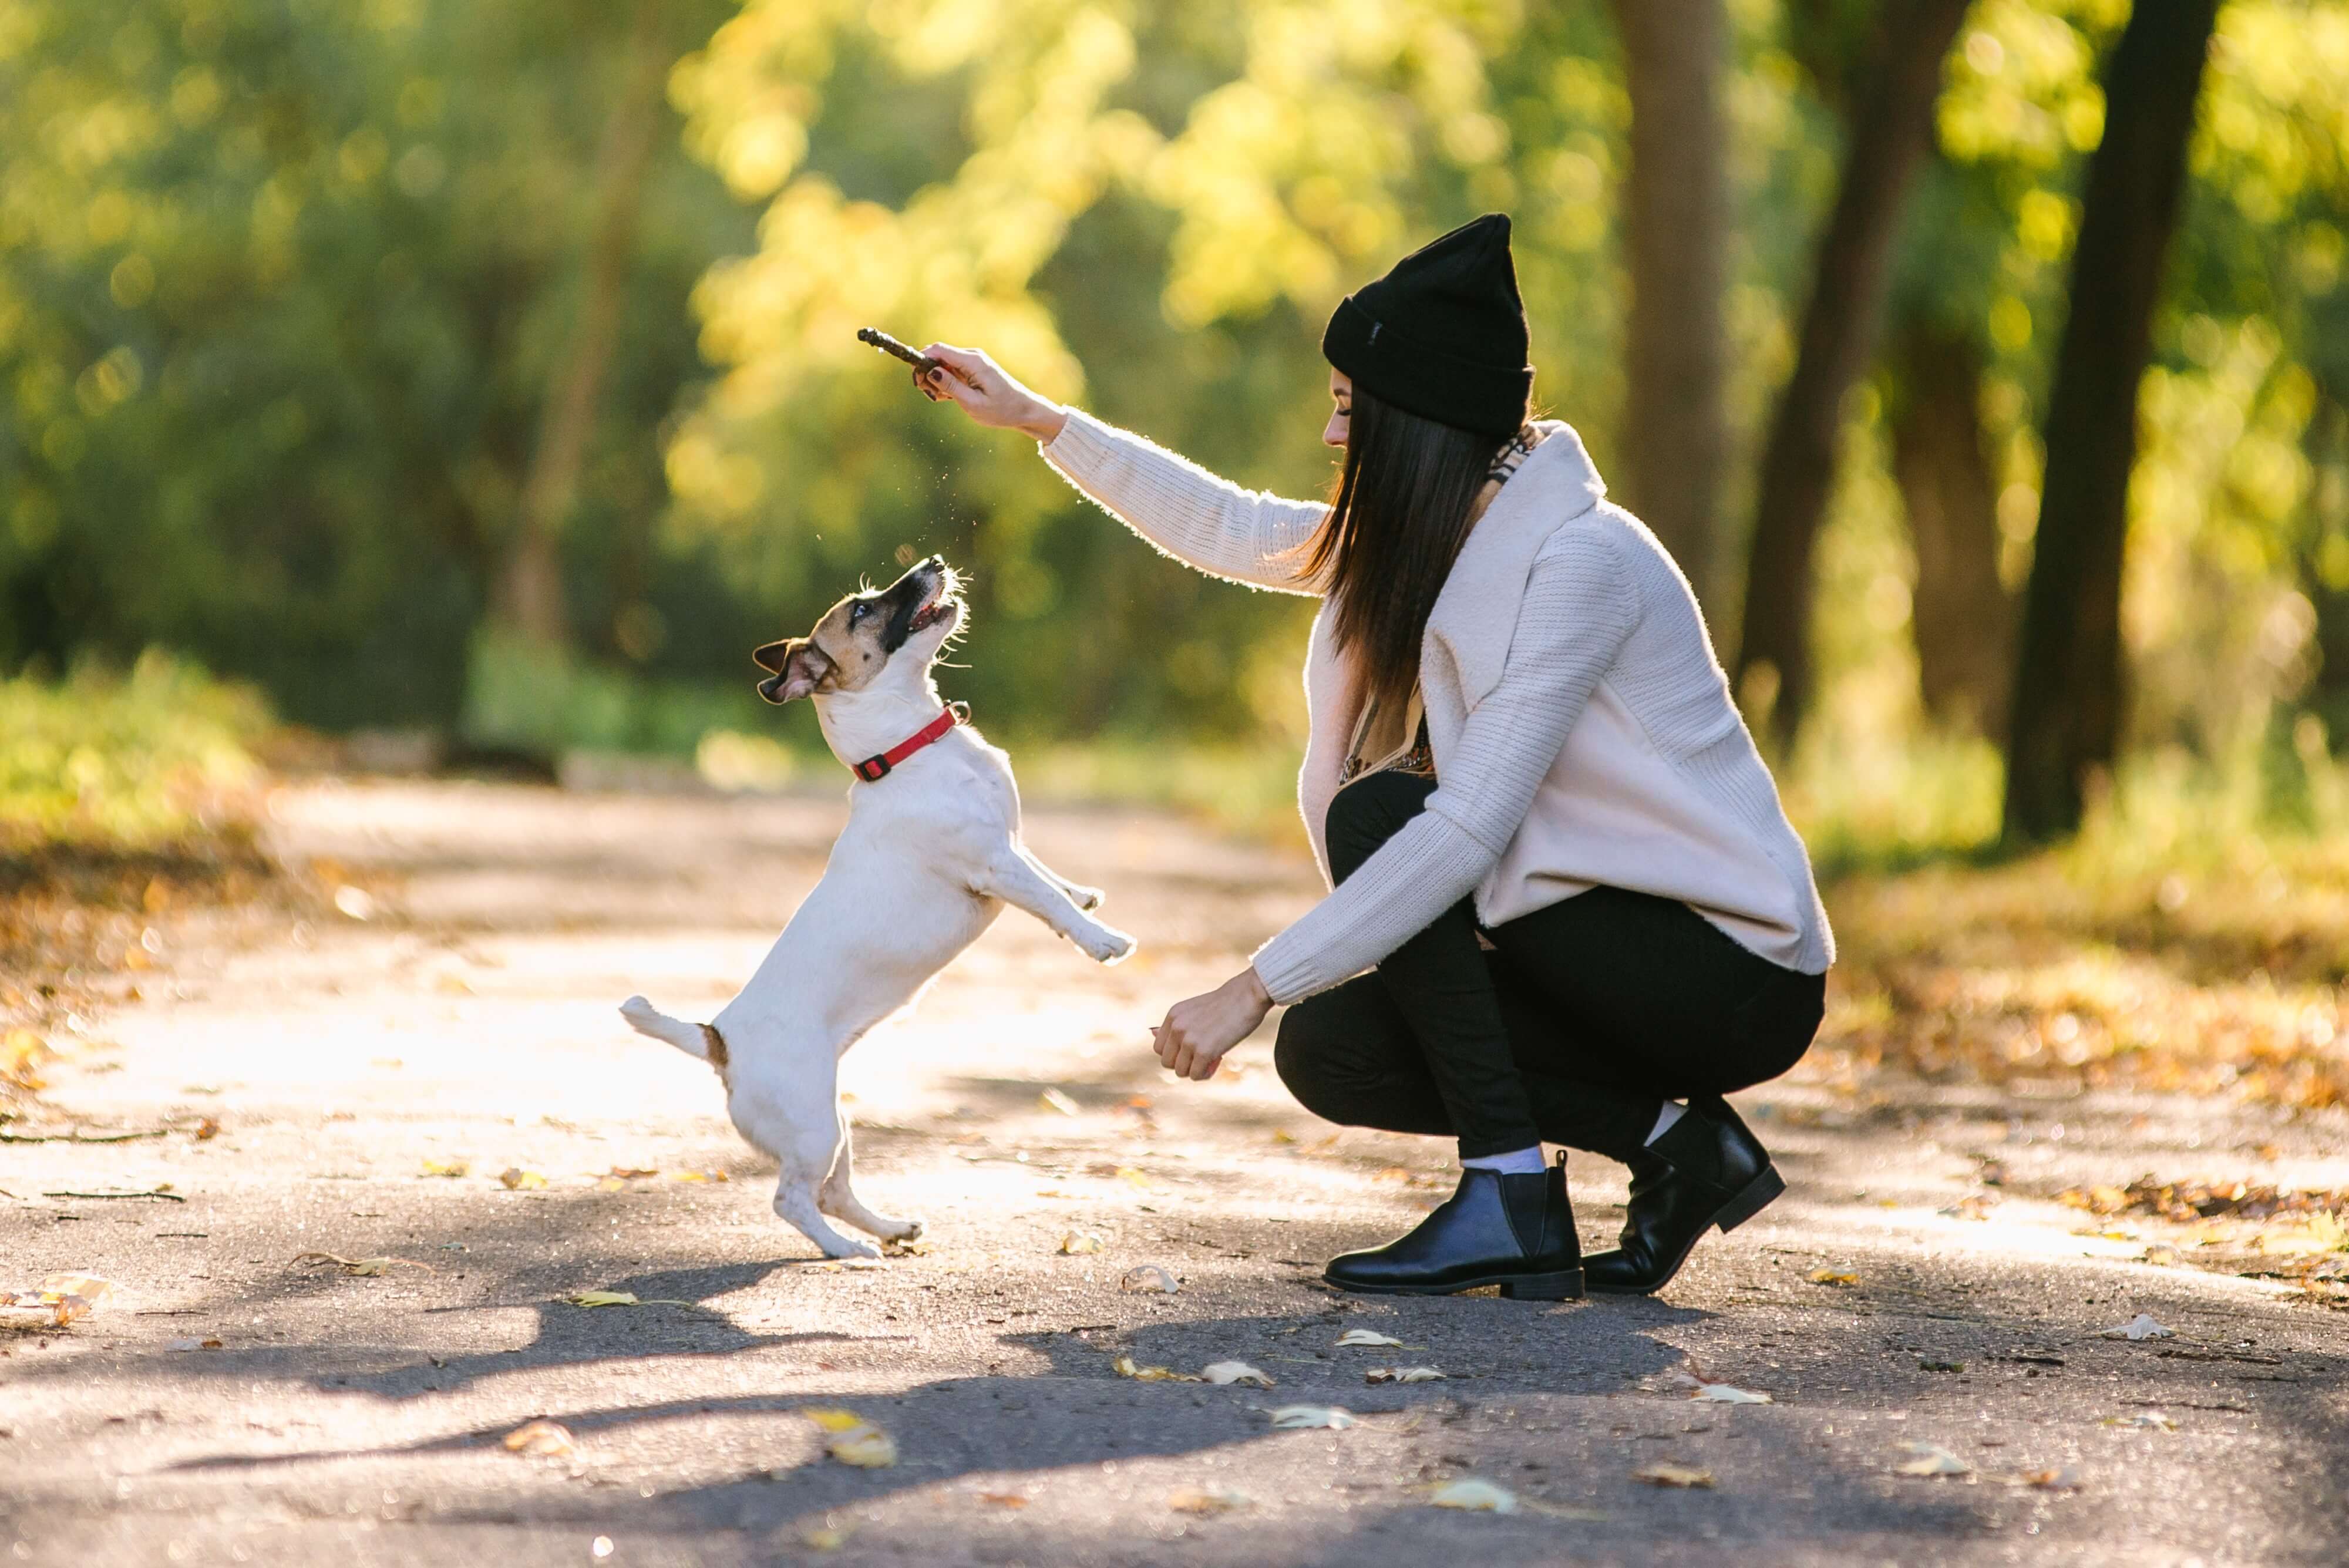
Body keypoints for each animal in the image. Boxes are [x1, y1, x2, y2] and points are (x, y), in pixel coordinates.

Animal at [620, 556, 1132, 1258]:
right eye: (862, 610)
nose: (933, 563)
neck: (910, 748)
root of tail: (718, 1041)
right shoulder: (992, 865)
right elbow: (1047, 900)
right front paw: (1101, 938)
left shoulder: (1010, 845)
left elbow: (1048, 873)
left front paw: (1085, 894)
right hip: (813, 1126)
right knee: (791, 1199)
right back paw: (846, 1250)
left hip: (834, 1118)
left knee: (833, 1192)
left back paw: (889, 1229)